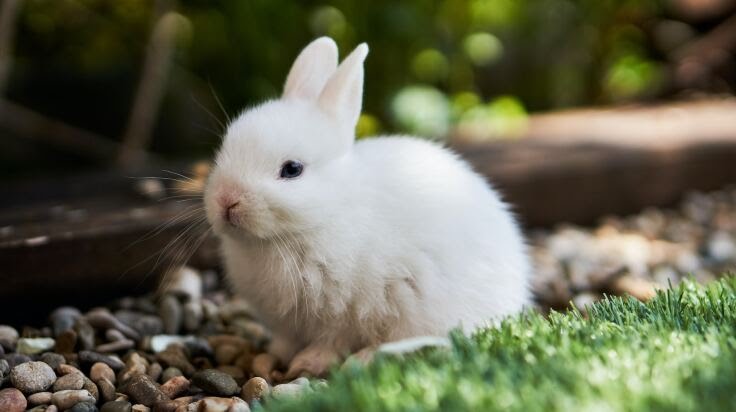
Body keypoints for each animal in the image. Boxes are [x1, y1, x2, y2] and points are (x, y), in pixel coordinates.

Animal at [204, 37, 532, 378]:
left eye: (292, 169)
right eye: (225, 149)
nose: (226, 200)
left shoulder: (345, 312)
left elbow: (332, 341)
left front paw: (308, 363)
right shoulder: (287, 324)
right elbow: (285, 340)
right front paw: (273, 356)